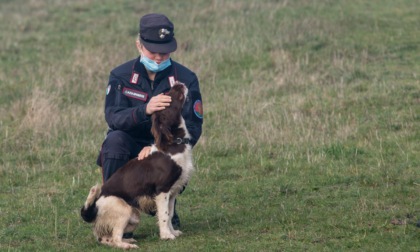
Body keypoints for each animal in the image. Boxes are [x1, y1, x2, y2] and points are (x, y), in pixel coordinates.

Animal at [80, 83, 194, 249]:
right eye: (168, 96)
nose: (178, 84)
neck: (173, 143)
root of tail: (94, 209)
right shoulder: (162, 190)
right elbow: (164, 215)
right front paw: (166, 236)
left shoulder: (173, 191)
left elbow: (170, 213)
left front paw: (173, 232)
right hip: (124, 209)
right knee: (115, 238)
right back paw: (127, 245)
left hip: (133, 217)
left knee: (106, 239)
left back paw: (128, 240)